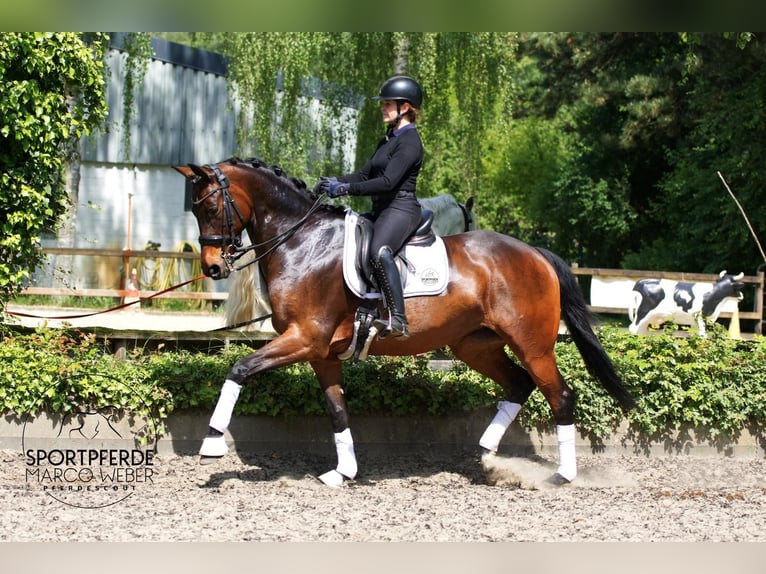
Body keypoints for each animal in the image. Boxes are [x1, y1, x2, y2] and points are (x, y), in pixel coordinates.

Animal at [177, 159, 640, 490]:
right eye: (196, 209)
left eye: (211, 206)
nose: (214, 267)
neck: (303, 243)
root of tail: (535, 254)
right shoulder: (321, 352)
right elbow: (337, 410)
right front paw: (343, 472)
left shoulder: (304, 338)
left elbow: (239, 369)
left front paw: (212, 442)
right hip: (475, 345)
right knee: (519, 385)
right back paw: (488, 456)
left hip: (532, 344)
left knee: (560, 396)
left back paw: (560, 475)